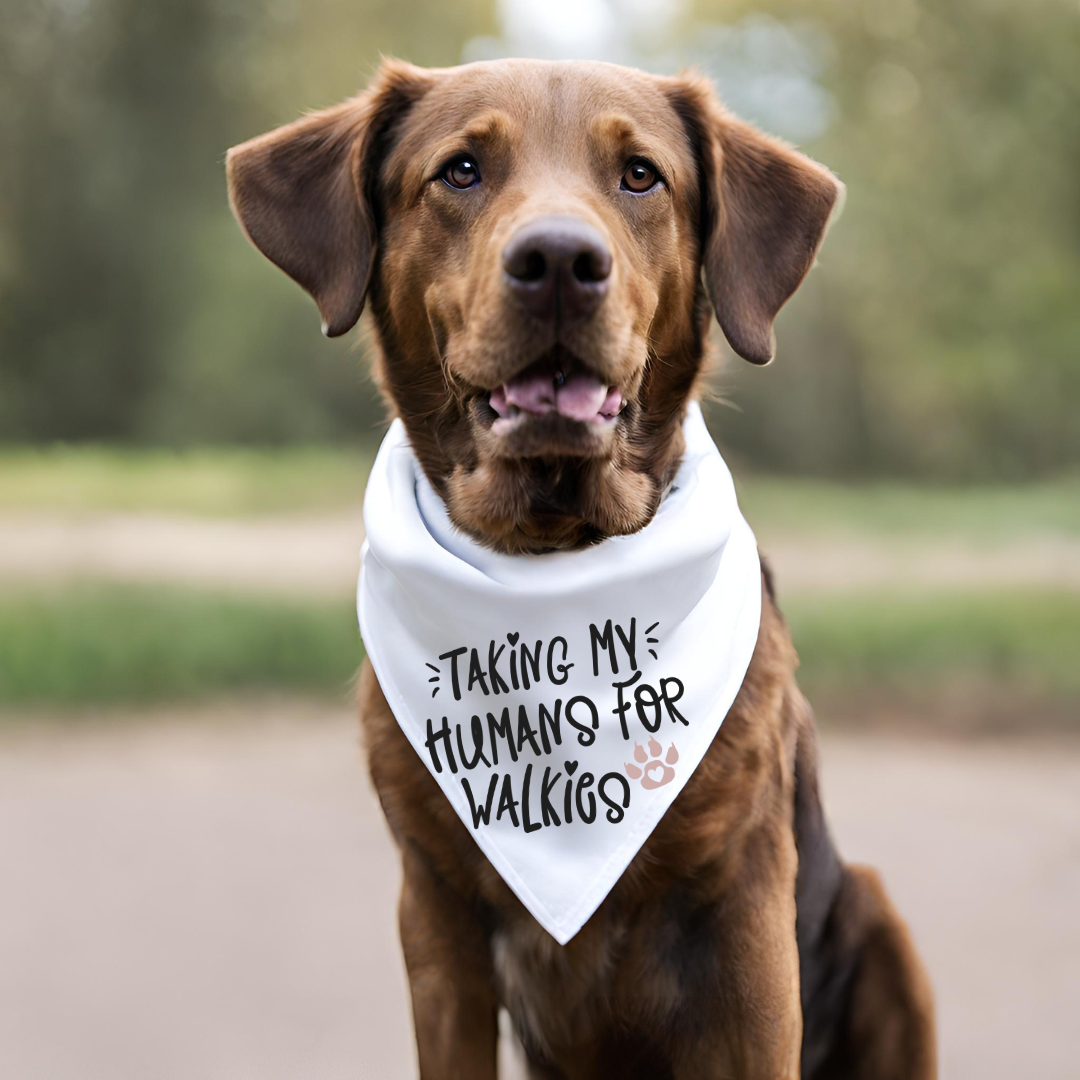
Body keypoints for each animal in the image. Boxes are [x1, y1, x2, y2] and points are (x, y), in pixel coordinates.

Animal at [227, 59, 937, 1080]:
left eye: (641, 175)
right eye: (461, 170)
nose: (560, 261)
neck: (553, 555)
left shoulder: (747, 915)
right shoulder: (435, 917)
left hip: (883, 928)